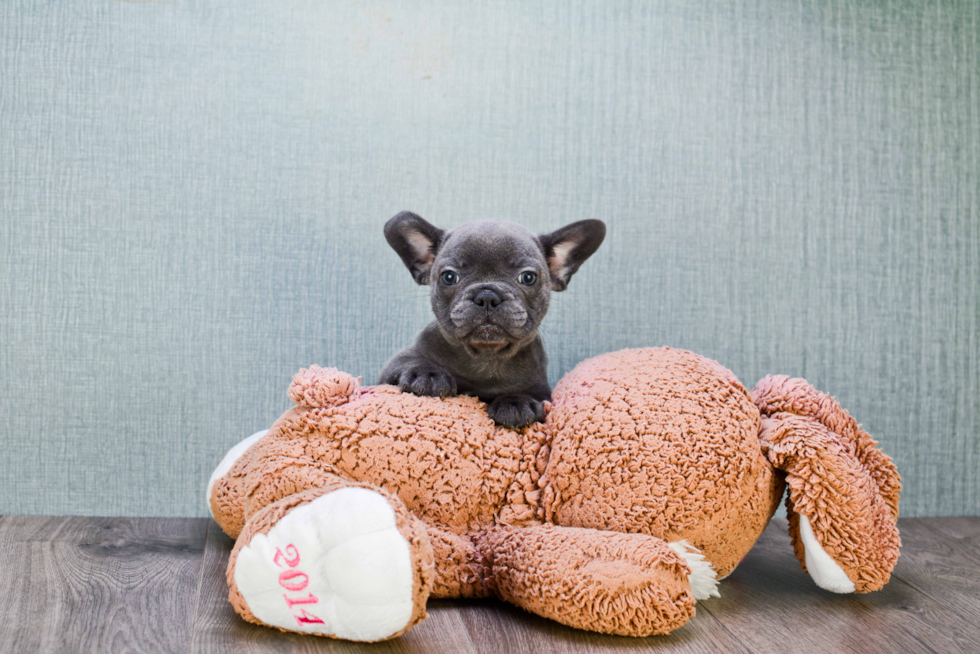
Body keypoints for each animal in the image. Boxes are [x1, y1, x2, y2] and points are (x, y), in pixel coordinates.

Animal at [380, 213, 604, 430]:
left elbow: (528, 395)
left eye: (528, 277)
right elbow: (409, 362)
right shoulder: (394, 366)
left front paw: (516, 402)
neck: (487, 356)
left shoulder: (541, 389)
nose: (487, 296)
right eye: (449, 277)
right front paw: (427, 375)